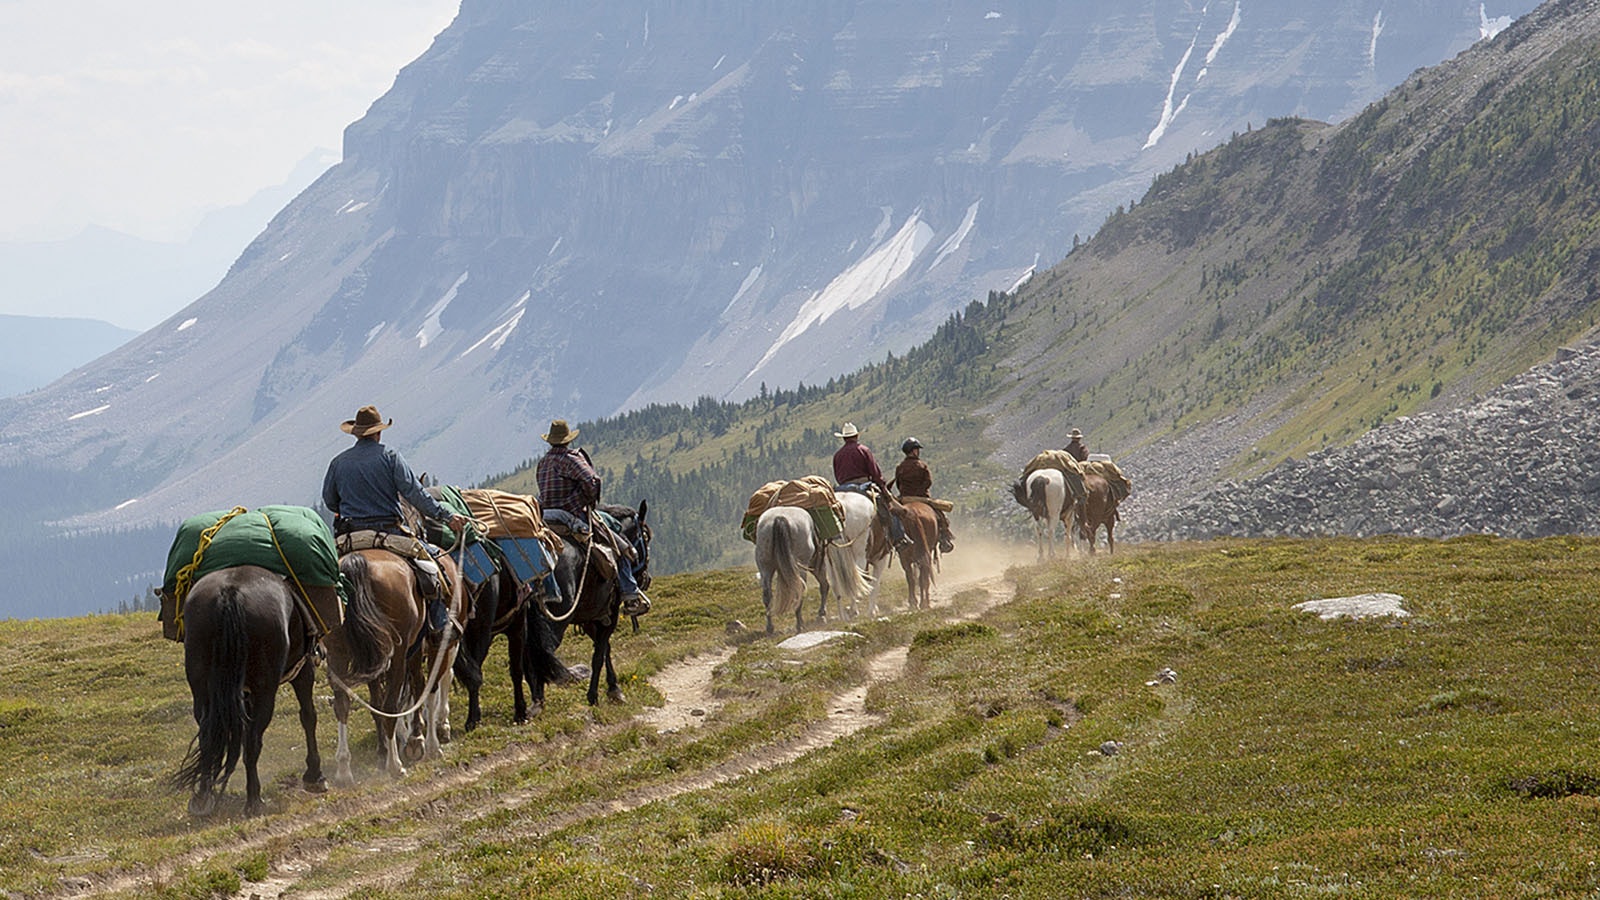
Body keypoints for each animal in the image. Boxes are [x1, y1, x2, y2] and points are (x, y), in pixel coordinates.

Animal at [168, 566, 327, 817]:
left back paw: (203, 797)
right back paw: (254, 800)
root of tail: (230, 594)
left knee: (207, 737)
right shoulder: (303, 671)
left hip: (202, 687)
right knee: (253, 741)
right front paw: (314, 775)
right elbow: (308, 716)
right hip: (265, 689)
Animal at [530, 501, 653, 707]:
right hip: (555, 619)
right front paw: (595, 695)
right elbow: (599, 653)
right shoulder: (610, 614)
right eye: (645, 536)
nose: (646, 579)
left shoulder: (589, 618)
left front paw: (613, 689)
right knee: (543, 651)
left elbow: (604, 649)